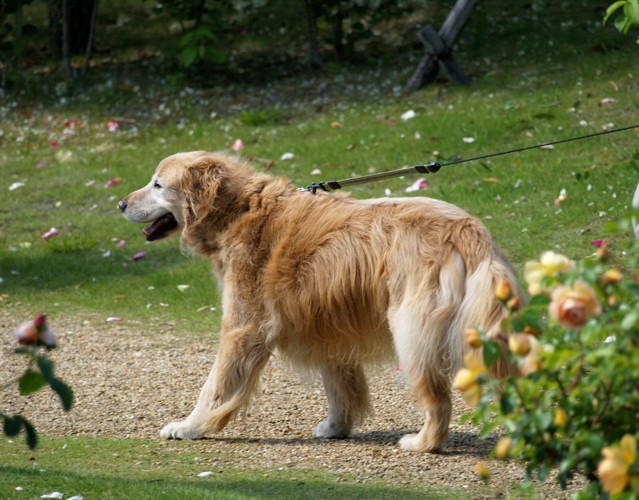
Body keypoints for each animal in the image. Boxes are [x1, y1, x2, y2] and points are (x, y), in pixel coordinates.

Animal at [120, 150, 520, 452]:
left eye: (158, 184)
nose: (121, 203)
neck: (241, 208)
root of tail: (470, 231)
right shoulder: (326, 320)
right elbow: (339, 384)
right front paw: (337, 425)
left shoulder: (244, 327)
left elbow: (215, 386)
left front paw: (191, 426)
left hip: (411, 330)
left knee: (438, 400)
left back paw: (424, 442)